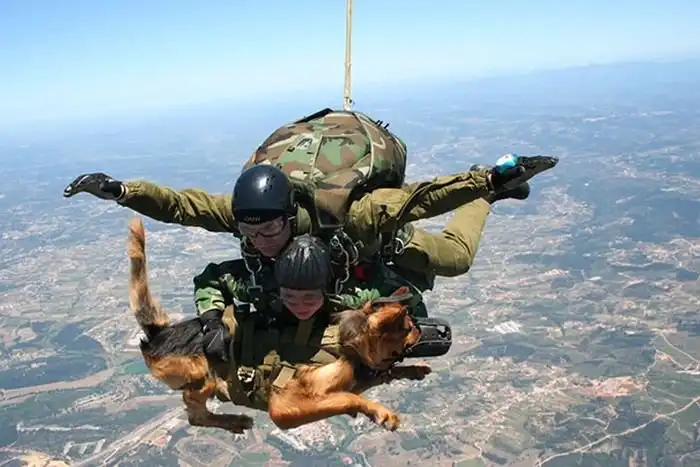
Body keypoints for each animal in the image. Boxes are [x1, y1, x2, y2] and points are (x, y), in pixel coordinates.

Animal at [126, 217, 433, 434]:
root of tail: (159, 332)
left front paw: (413, 370)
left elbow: (381, 375)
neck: (345, 343)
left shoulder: (363, 376)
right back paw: (233, 417)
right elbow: (348, 398)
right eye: (409, 327)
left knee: (196, 417)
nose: (421, 330)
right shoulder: (284, 407)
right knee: (195, 414)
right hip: (199, 375)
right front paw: (380, 412)